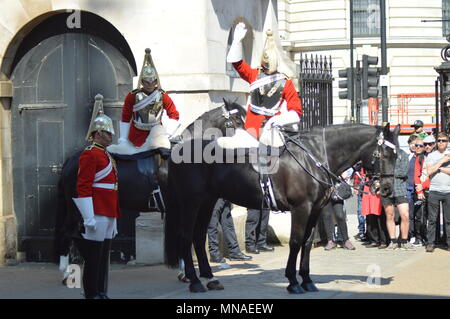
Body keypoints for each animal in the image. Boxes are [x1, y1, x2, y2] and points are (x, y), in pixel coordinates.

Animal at [163, 122, 400, 296]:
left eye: (397, 155)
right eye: (384, 154)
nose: (387, 188)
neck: (314, 157)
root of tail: (177, 150)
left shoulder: (315, 210)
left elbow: (306, 243)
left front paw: (307, 280)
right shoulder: (301, 208)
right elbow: (295, 241)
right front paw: (293, 281)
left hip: (207, 202)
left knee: (197, 237)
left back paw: (210, 278)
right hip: (191, 203)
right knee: (186, 237)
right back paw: (195, 281)